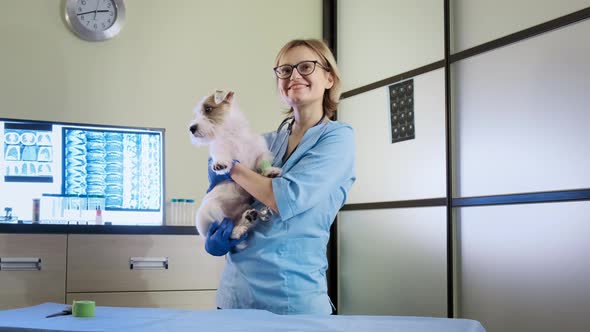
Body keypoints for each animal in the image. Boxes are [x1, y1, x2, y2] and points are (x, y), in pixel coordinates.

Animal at [190, 89, 282, 243]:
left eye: (208, 109)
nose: (191, 128)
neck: (232, 134)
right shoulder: (220, 149)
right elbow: (222, 155)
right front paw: (220, 164)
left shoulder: (259, 151)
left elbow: (262, 161)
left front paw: (270, 171)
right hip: (209, 212)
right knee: (223, 230)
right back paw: (236, 230)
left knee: (236, 222)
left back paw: (248, 218)